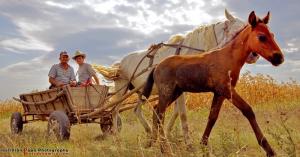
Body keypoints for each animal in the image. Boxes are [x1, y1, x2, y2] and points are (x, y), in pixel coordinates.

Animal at [98, 9, 258, 147]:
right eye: (240, 31)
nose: (254, 55)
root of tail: (120, 63)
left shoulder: (181, 90)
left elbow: (175, 112)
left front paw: (167, 135)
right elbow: (182, 114)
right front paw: (188, 143)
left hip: (140, 91)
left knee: (136, 110)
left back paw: (149, 133)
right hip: (122, 88)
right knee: (114, 110)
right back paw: (116, 137)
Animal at [143, 11, 284, 157]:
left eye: (272, 35)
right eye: (262, 37)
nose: (279, 58)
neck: (228, 57)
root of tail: (157, 66)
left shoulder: (219, 93)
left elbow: (212, 117)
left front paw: (203, 145)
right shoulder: (227, 89)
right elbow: (248, 110)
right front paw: (268, 149)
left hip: (174, 93)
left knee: (156, 109)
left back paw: (155, 144)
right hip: (167, 92)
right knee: (160, 114)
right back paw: (165, 148)